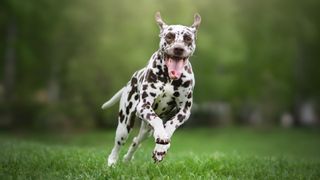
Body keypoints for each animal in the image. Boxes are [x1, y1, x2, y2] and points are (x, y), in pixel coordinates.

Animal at [101, 11, 201, 166]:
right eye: (169, 36)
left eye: (188, 38)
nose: (179, 48)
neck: (169, 78)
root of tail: (130, 81)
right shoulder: (144, 106)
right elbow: (157, 120)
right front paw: (161, 136)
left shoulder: (184, 111)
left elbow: (171, 124)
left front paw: (161, 148)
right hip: (124, 125)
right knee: (117, 145)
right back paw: (112, 162)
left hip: (146, 131)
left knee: (136, 141)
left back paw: (128, 159)